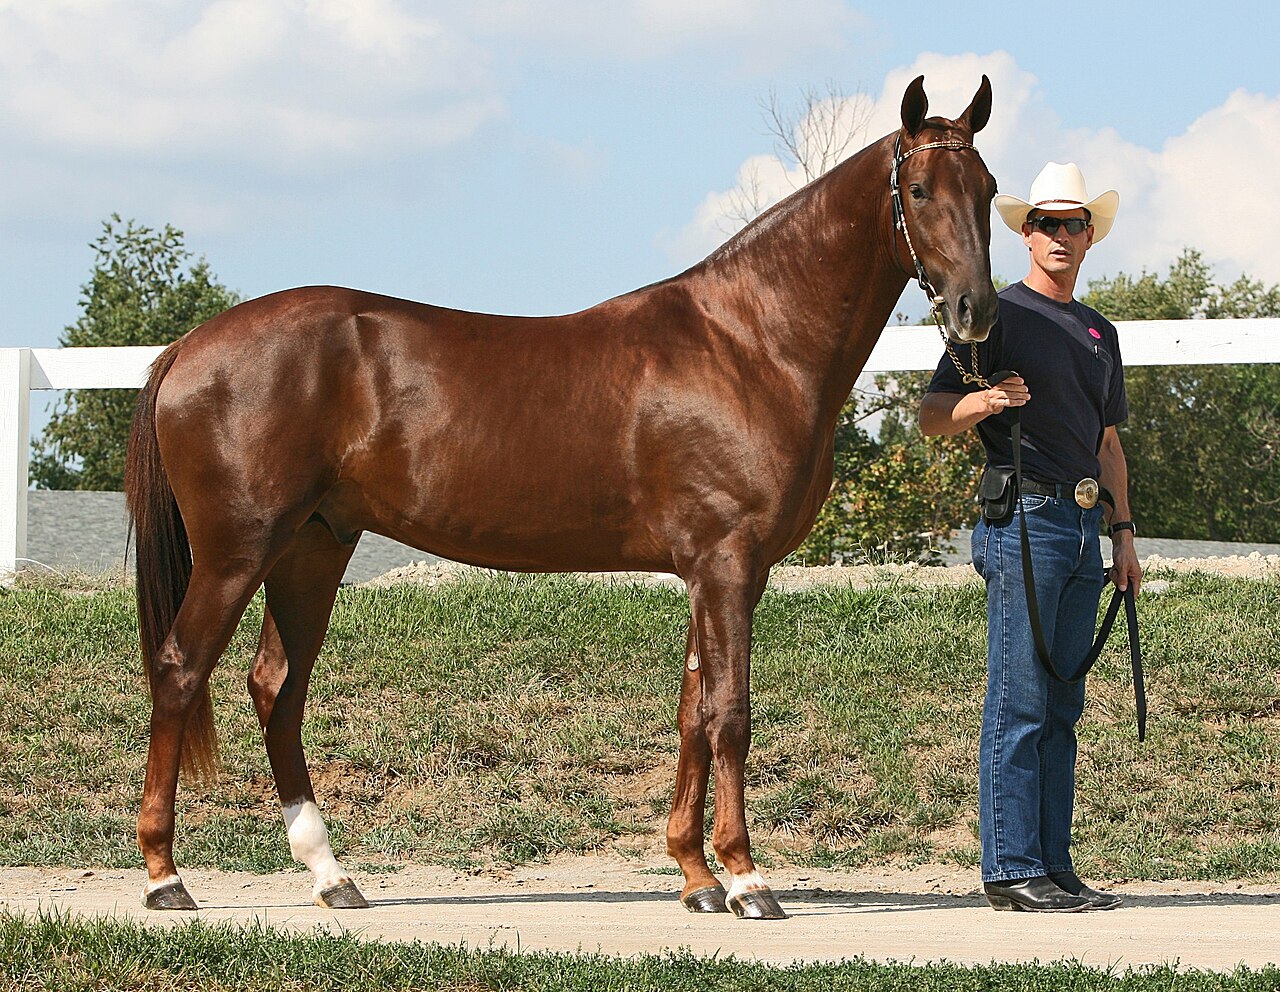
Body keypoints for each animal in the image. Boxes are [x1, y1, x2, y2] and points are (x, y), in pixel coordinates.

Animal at [125, 74, 996, 921]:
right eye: (919, 189)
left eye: (987, 189)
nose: (975, 309)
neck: (747, 343)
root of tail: (188, 346)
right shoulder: (729, 564)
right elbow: (730, 714)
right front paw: (747, 879)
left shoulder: (707, 573)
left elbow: (691, 712)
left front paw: (695, 876)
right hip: (238, 550)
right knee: (180, 670)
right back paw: (166, 877)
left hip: (312, 547)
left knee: (277, 687)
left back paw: (330, 875)